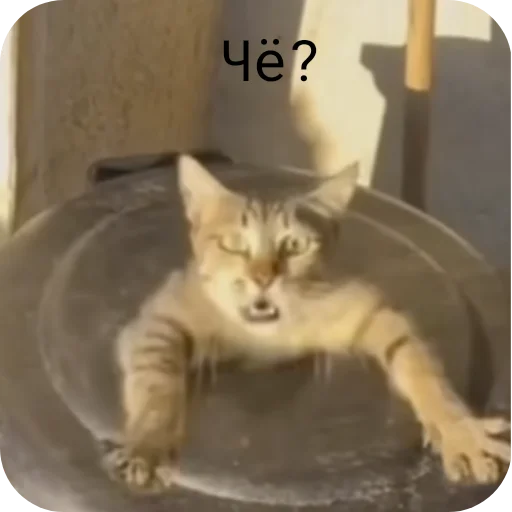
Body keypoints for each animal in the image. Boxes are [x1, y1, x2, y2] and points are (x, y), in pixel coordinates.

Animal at [101, 154, 512, 493]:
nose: (263, 278)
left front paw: (461, 433)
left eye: (295, 246)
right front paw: (149, 445)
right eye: (234, 244)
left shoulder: (373, 308)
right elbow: (157, 386)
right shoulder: (158, 319)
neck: (264, 336)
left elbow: (422, 370)